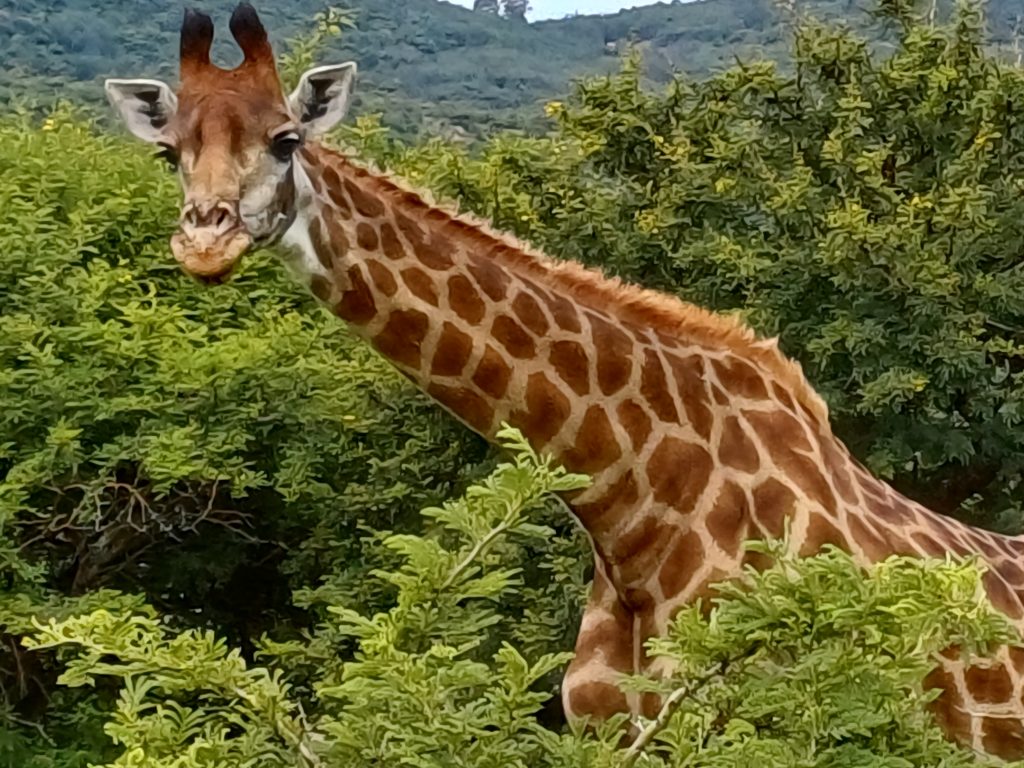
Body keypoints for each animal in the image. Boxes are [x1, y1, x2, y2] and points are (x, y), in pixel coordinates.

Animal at [105, 3, 1024, 758]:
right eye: (169, 153)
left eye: (286, 139)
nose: (206, 241)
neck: (633, 505)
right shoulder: (610, 730)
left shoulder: (767, 722)